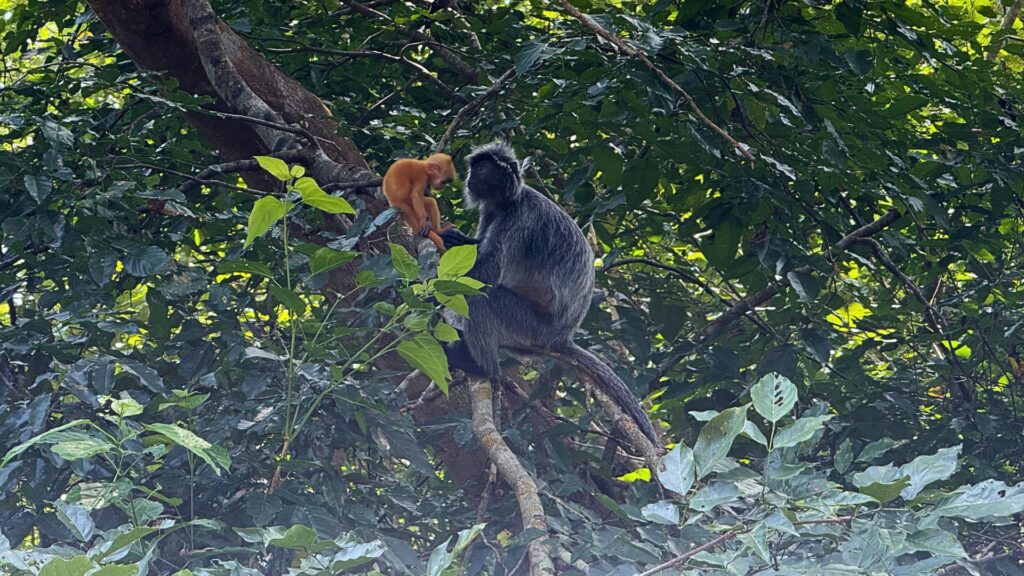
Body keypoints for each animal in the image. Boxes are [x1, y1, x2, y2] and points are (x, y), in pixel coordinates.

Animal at [439, 142, 660, 444]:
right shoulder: (492, 213)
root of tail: (562, 336)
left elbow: (486, 272)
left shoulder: (519, 219)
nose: (469, 177)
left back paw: (481, 367)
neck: (509, 201)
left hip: (530, 324)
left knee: (482, 297)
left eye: (481, 168)